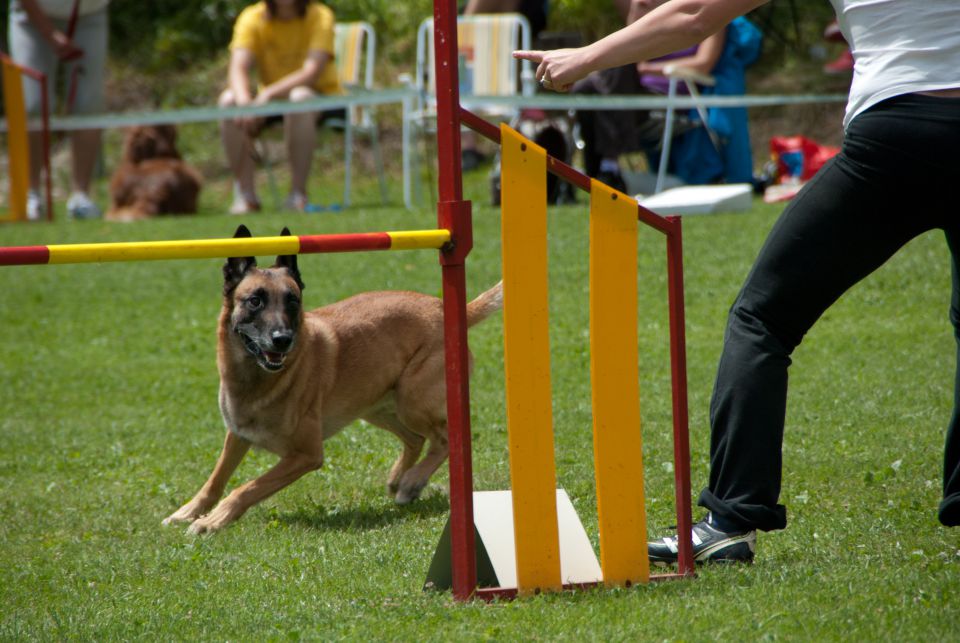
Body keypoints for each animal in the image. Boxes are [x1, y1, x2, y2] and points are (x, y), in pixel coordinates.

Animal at [164, 224, 502, 536]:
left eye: (292, 301)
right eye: (255, 301)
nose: (282, 340)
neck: (256, 379)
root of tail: (447, 308)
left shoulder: (305, 454)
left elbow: (246, 487)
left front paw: (213, 521)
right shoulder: (237, 435)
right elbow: (216, 479)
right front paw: (189, 513)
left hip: (411, 400)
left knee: (445, 439)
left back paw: (412, 482)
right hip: (375, 407)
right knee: (417, 439)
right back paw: (400, 478)